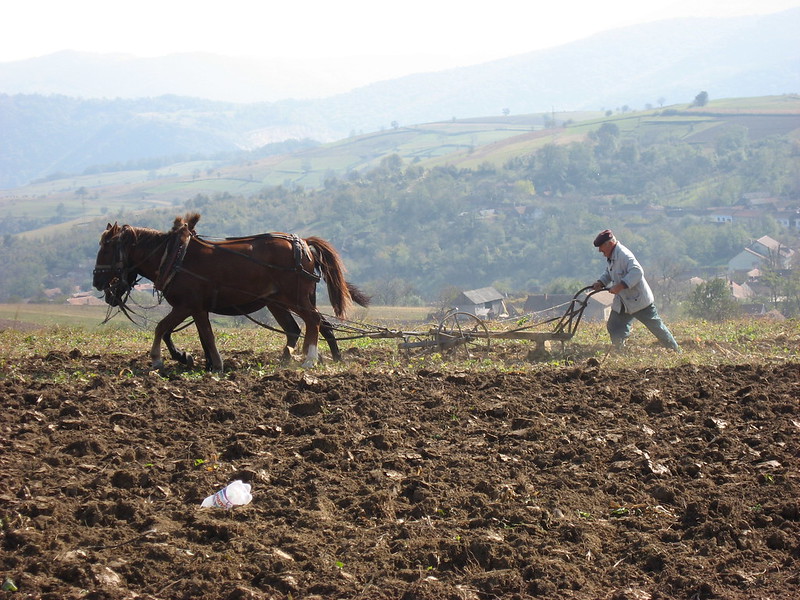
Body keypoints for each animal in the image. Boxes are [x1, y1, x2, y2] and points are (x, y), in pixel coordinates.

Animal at [93, 211, 368, 370]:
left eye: (105, 248)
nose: (97, 282)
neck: (174, 257)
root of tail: (303, 244)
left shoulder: (187, 305)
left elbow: (165, 328)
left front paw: (160, 358)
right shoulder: (196, 308)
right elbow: (197, 334)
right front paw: (190, 358)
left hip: (295, 298)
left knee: (313, 321)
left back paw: (310, 358)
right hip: (277, 302)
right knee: (303, 327)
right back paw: (294, 358)